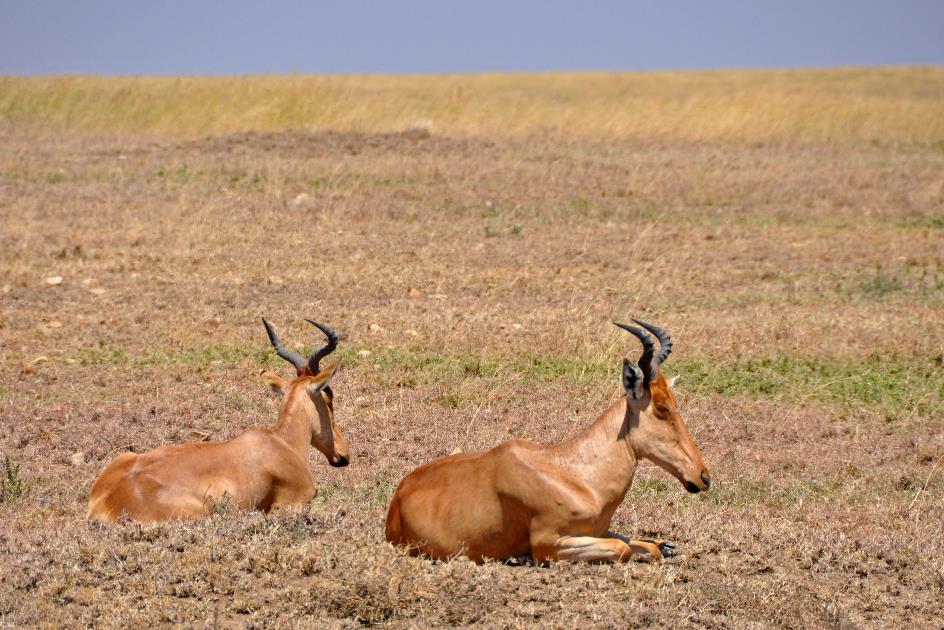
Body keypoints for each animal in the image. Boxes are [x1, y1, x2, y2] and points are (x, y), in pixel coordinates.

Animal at [384, 320, 708, 564]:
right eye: (662, 408)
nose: (703, 476)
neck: (575, 474)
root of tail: (397, 501)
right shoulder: (548, 544)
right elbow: (623, 549)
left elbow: (648, 546)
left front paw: (664, 546)